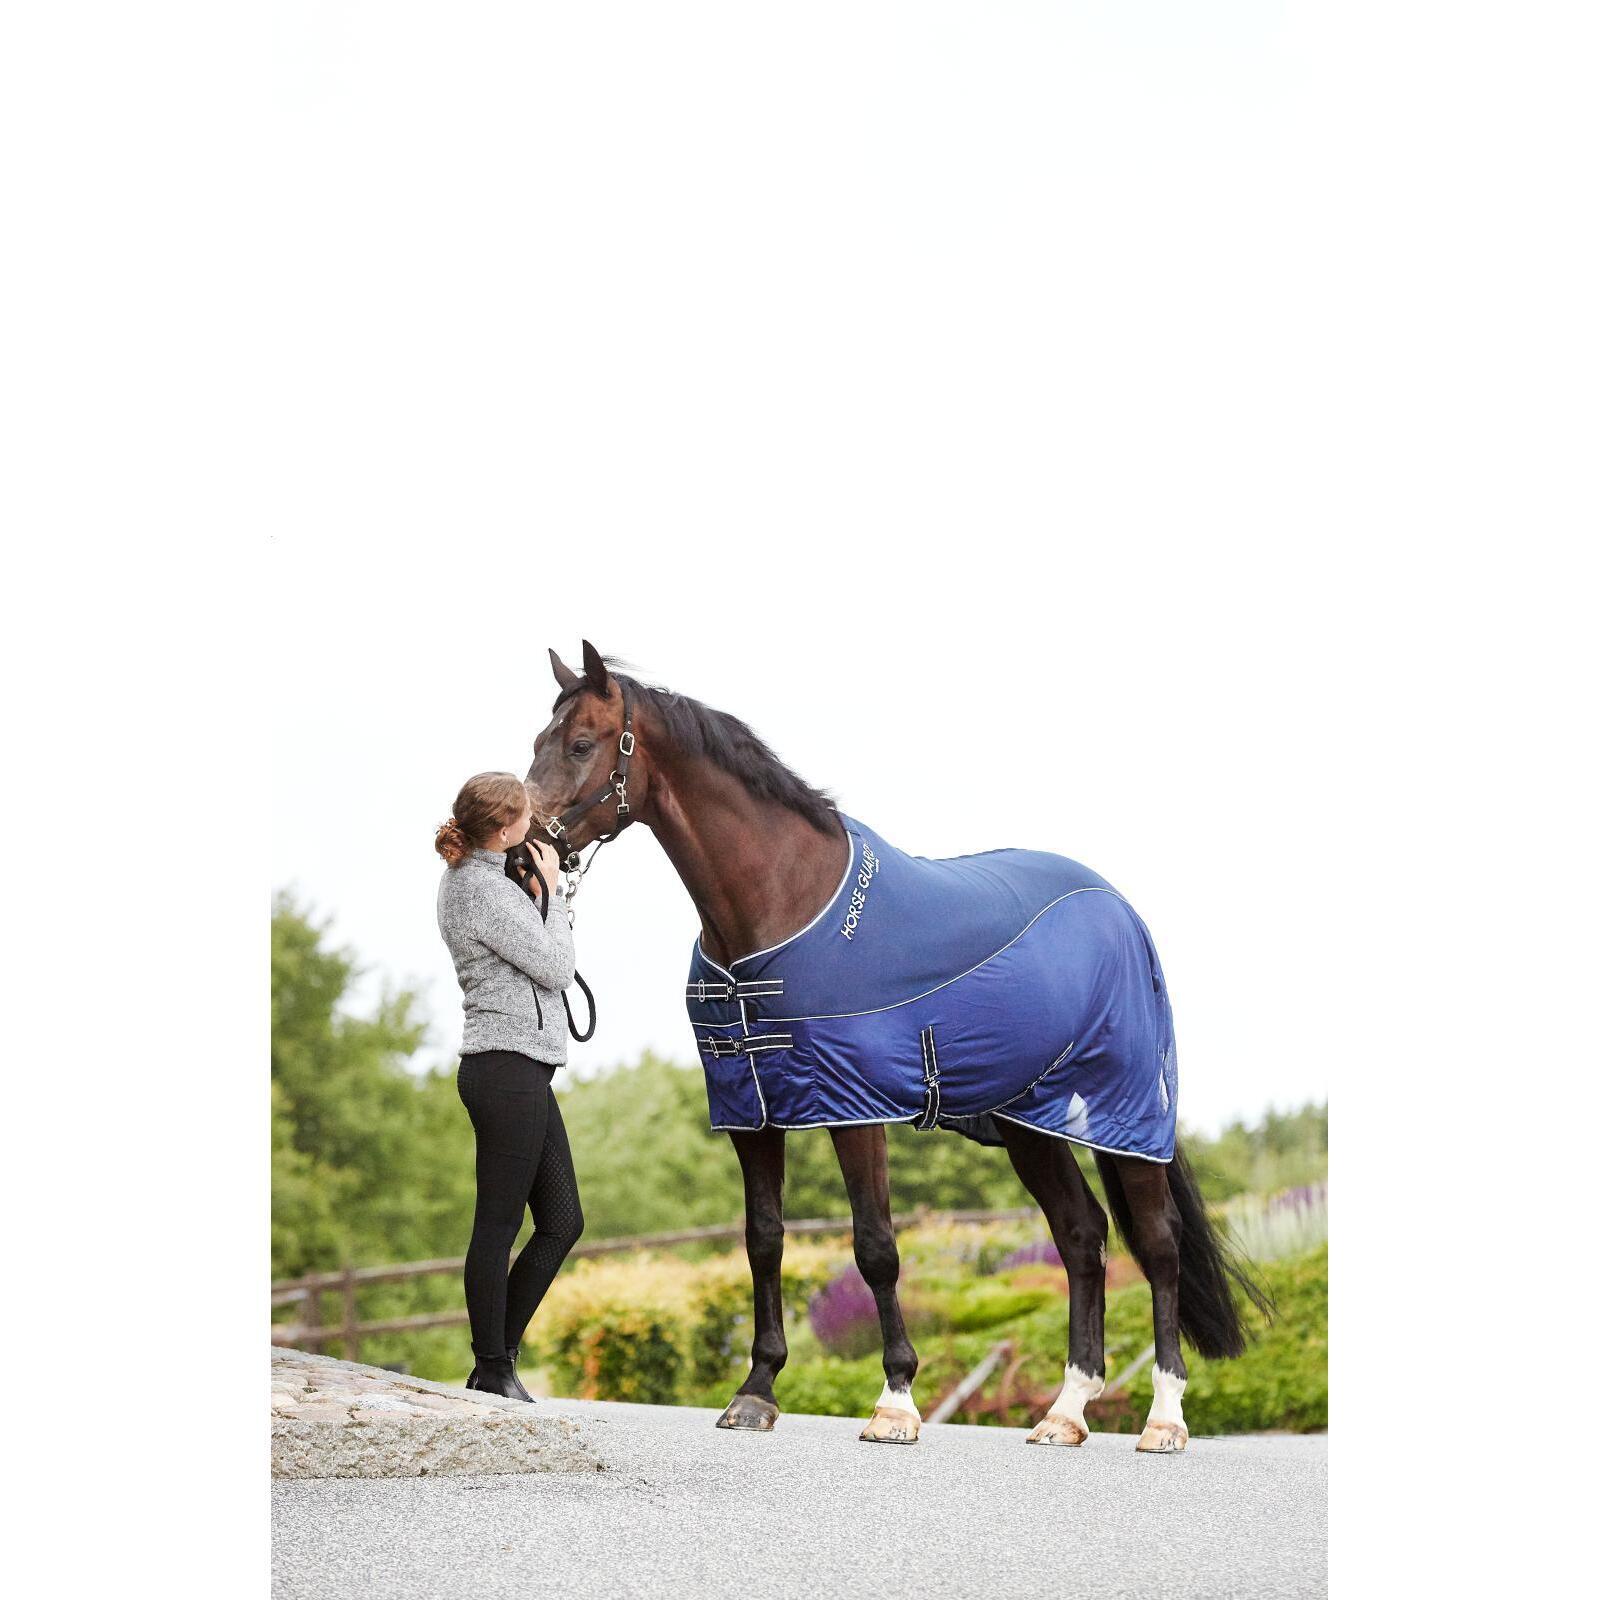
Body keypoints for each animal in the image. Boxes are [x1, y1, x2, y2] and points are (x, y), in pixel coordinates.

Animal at [524, 641, 1270, 1453]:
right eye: (539, 743)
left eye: (582, 744)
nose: (527, 846)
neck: (783, 901)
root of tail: (1121, 911)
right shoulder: (751, 1110)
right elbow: (763, 1240)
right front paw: (756, 1391)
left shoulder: (855, 1106)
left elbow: (875, 1246)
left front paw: (895, 1401)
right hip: (1029, 1123)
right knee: (1081, 1236)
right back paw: (1066, 1412)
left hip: (1127, 1113)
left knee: (1159, 1247)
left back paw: (1164, 1418)